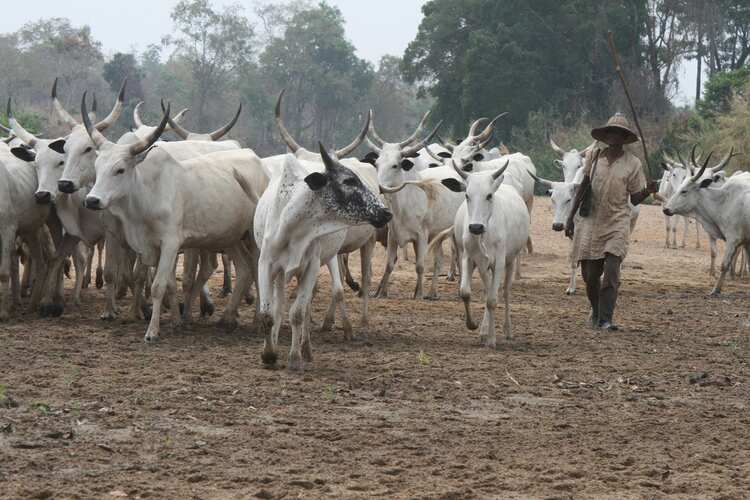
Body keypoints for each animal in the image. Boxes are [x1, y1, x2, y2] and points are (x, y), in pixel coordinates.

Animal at [244, 145, 394, 372]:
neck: (292, 226)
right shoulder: (266, 265)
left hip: (329, 258)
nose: (386, 212)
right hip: (283, 273)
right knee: (280, 306)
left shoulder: (311, 267)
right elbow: (268, 315)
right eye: (348, 181)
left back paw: (306, 349)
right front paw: (269, 354)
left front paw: (295, 358)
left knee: (306, 307)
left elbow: (297, 314)